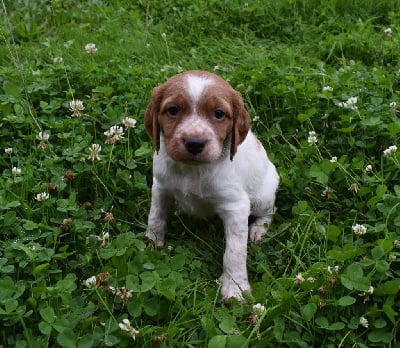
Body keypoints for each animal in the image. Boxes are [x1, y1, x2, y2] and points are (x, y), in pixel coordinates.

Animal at [145, 70, 280, 300]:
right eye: (173, 110)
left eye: (219, 114)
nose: (194, 143)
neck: (191, 170)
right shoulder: (161, 187)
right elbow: (155, 217)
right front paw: (151, 243)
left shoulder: (236, 207)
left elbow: (234, 252)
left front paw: (235, 288)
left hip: (262, 197)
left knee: (269, 212)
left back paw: (257, 230)